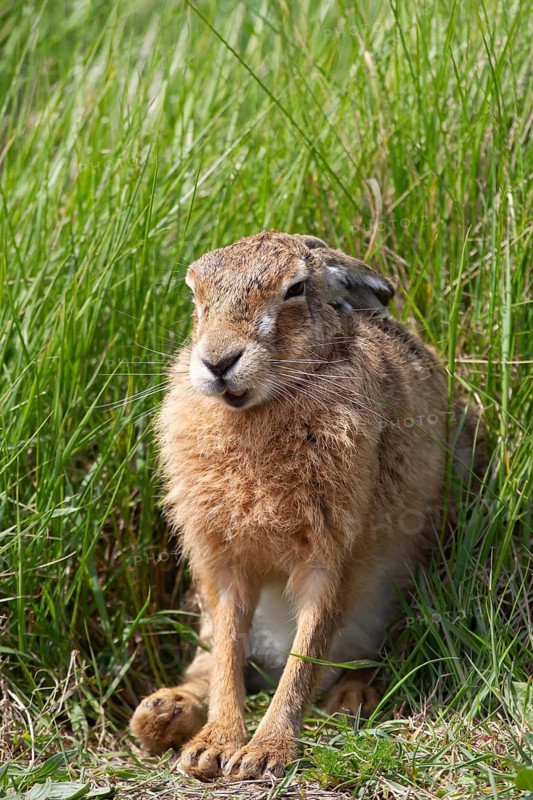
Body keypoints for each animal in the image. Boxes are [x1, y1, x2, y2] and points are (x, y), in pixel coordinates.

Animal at [130, 230, 483, 780]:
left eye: (294, 289)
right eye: (195, 294)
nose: (217, 362)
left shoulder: (332, 553)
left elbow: (307, 652)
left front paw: (265, 753)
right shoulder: (223, 559)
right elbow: (229, 653)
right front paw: (214, 747)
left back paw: (351, 699)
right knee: (210, 662)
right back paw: (164, 713)